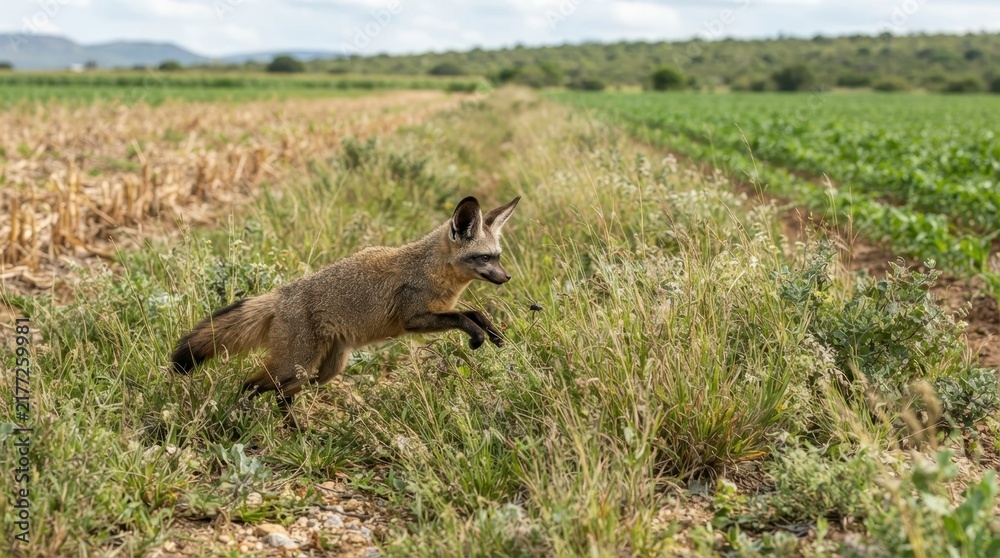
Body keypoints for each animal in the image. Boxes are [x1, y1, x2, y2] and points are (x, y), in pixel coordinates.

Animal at [170, 195, 520, 424]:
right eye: (484, 258)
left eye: (498, 257)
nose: (506, 278)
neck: (429, 270)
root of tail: (281, 294)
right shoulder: (414, 319)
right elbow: (462, 316)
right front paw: (477, 337)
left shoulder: (436, 311)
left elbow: (474, 313)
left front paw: (494, 335)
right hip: (296, 366)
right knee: (251, 384)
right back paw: (240, 418)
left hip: (323, 370)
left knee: (281, 394)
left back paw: (292, 429)